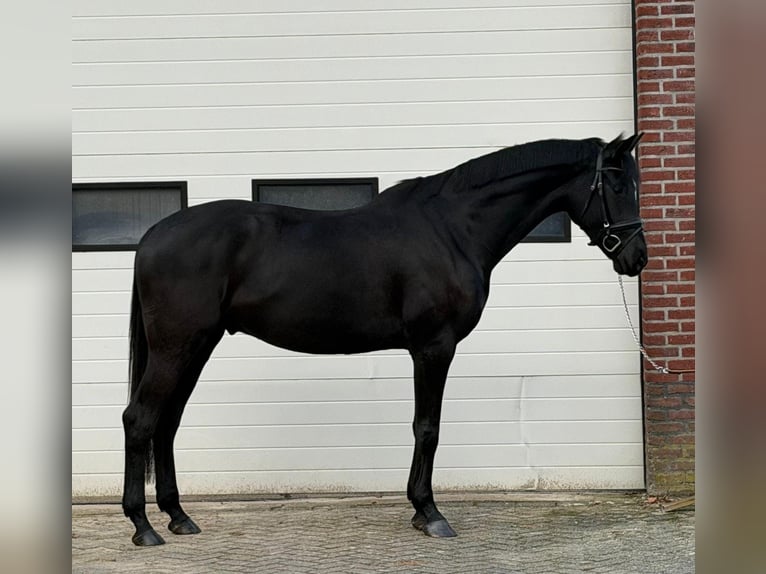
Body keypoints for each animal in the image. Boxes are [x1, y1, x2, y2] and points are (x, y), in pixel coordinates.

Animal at [122, 133, 647, 546]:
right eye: (619, 185)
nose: (636, 257)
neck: (452, 229)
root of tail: (151, 235)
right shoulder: (434, 347)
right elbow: (428, 428)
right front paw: (429, 513)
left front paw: (420, 510)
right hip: (176, 347)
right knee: (140, 419)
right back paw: (143, 527)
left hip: (197, 346)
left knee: (166, 424)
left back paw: (178, 517)